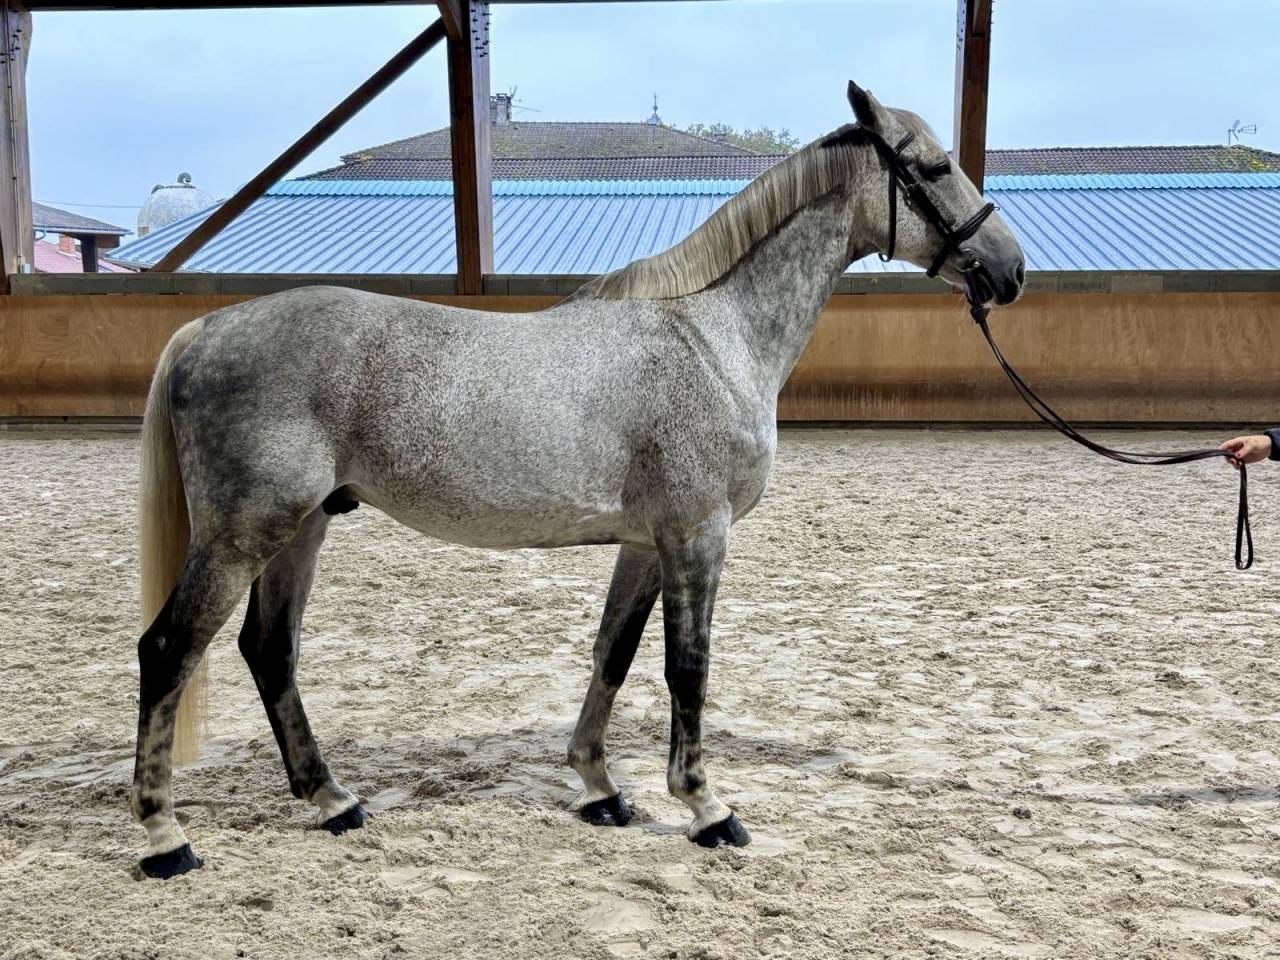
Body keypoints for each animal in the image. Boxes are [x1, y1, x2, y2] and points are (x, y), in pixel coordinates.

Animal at [131, 81, 1025, 878]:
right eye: (935, 166)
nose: (1009, 271)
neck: (712, 339)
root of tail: (205, 328)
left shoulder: (644, 544)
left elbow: (613, 653)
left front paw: (600, 788)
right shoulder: (697, 537)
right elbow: (687, 668)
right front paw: (706, 807)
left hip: (303, 527)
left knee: (269, 649)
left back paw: (332, 799)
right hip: (245, 534)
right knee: (170, 649)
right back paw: (166, 837)